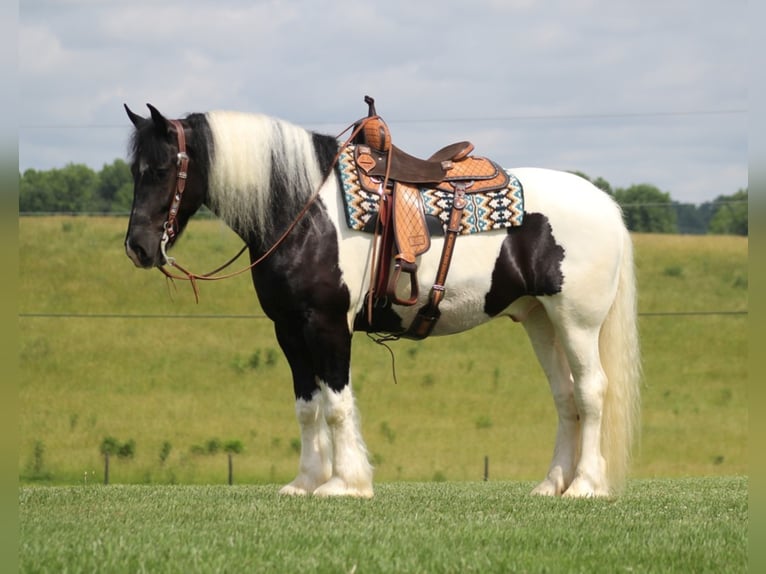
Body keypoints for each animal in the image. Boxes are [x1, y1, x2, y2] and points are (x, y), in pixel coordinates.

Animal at [124, 102, 640, 500]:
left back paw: (584, 486)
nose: (138, 248)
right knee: (565, 395)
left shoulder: (329, 323)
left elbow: (336, 403)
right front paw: (305, 482)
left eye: (162, 169)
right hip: (540, 320)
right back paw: (552, 484)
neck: (304, 211)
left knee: (591, 391)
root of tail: (605, 204)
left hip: (576, 321)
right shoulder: (288, 328)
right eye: (133, 171)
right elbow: (307, 406)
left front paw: (344, 484)